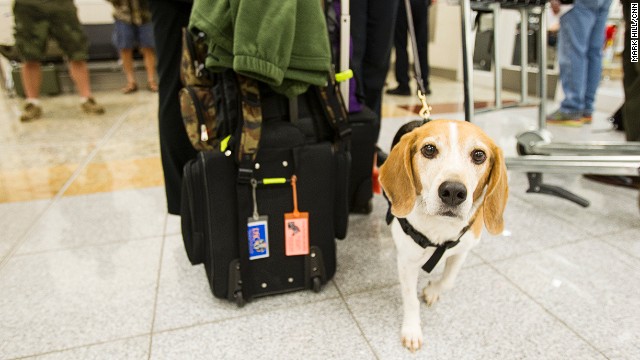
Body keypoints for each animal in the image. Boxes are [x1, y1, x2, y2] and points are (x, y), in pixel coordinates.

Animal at [378, 119, 508, 352]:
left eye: (479, 155)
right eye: (429, 149)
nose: (454, 191)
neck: (440, 227)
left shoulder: (462, 251)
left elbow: (448, 280)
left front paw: (432, 291)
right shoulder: (407, 262)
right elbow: (411, 300)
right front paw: (412, 330)